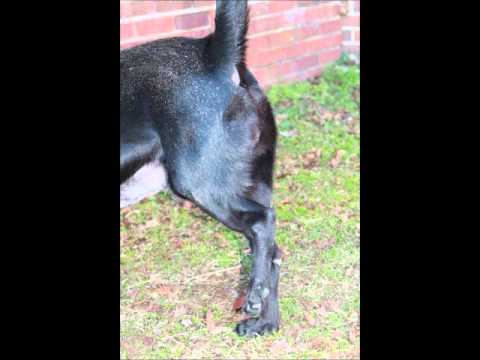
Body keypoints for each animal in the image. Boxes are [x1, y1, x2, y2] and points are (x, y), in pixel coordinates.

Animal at [120, 0, 282, 338]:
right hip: (252, 184)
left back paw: (255, 299)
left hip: (200, 185)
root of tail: (213, 55)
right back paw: (265, 323)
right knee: (274, 253)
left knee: (263, 221)